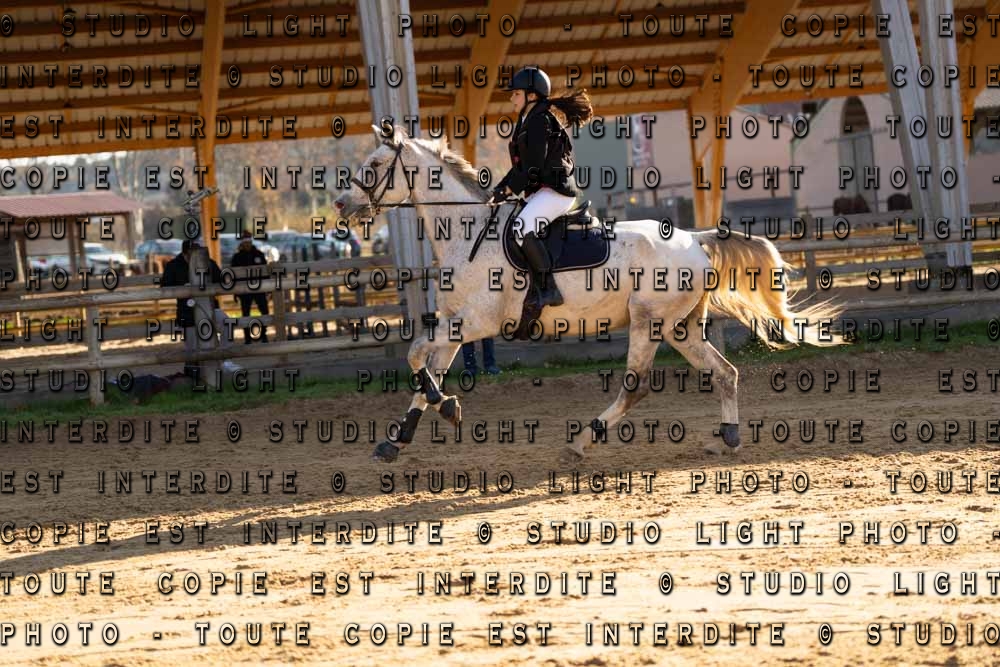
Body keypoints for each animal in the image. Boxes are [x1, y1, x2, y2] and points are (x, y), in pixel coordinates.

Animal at [334, 123, 842, 465]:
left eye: (374, 166)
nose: (340, 204)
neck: (468, 233)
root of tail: (695, 239)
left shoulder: (477, 323)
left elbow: (415, 356)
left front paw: (447, 408)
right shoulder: (454, 323)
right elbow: (428, 369)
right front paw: (399, 437)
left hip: (648, 322)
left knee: (636, 387)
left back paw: (581, 441)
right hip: (679, 328)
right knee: (724, 372)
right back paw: (727, 437)